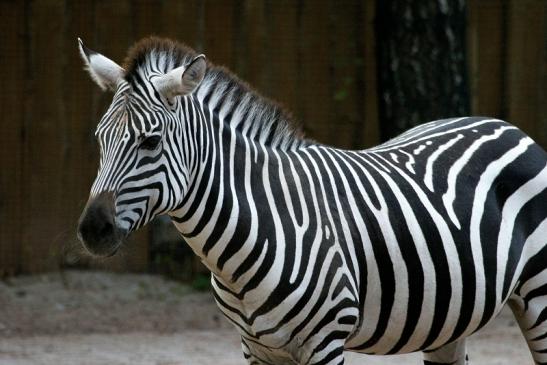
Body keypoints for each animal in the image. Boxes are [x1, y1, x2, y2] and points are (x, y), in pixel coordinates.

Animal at [77, 37, 547, 364]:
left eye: (150, 142)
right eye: (99, 138)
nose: (91, 230)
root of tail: (507, 126)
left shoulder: (324, 341)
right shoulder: (256, 348)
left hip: (540, 296)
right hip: (448, 320)